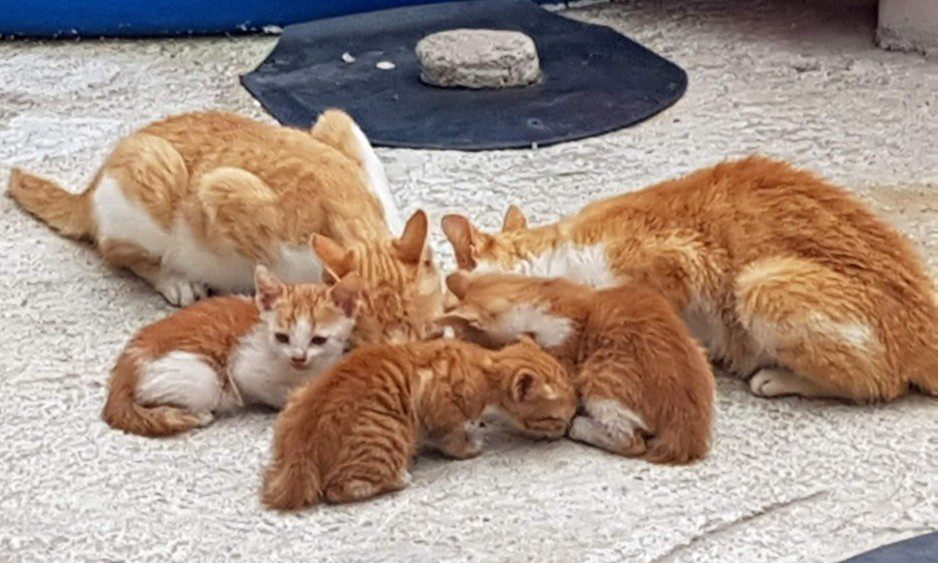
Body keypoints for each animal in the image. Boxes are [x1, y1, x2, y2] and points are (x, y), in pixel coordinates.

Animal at [5, 108, 430, 310]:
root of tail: (89, 188)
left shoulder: (343, 128)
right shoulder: (221, 190)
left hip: (333, 121)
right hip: (154, 175)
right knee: (116, 251)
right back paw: (178, 281)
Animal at [102, 266, 358, 438]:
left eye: (318, 340)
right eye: (282, 337)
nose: (298, 357)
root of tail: (123, 370)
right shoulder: (245, 370)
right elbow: (276, 390)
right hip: (203, 380)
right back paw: (195, 414)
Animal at [260, 334, 576, 512]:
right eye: (555, 419)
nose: (565, 431)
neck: (484, 365)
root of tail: (300, 453)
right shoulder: (444, 411)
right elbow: (453, 438)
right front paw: (470, 446)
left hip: (295, 397)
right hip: (391, 433)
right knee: (342, 488)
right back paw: (398, 478)